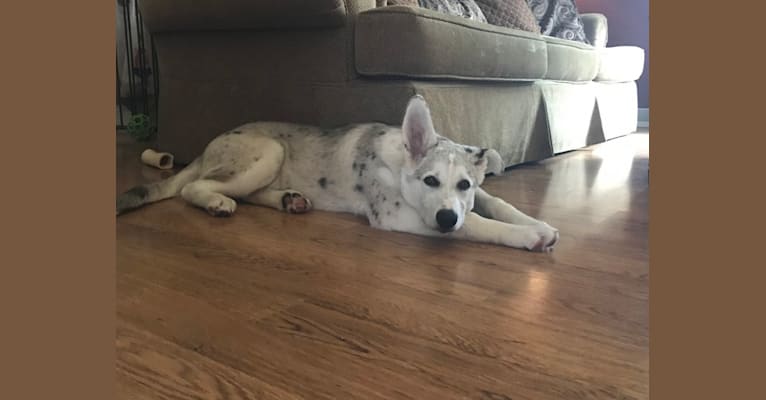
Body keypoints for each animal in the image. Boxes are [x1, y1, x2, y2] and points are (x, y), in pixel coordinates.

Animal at [120, 95, 560, 252]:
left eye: (464, 184)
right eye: (430, 181)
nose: (447, 217)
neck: (399, 164)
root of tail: (211, 143)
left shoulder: (471, 198)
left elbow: (495, 202)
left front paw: (538, 223)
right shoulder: (399, 216)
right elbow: (478, 225)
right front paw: (529, 237)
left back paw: (289, 200)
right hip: (267, 151)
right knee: (193, 187)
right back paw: (216, 201)